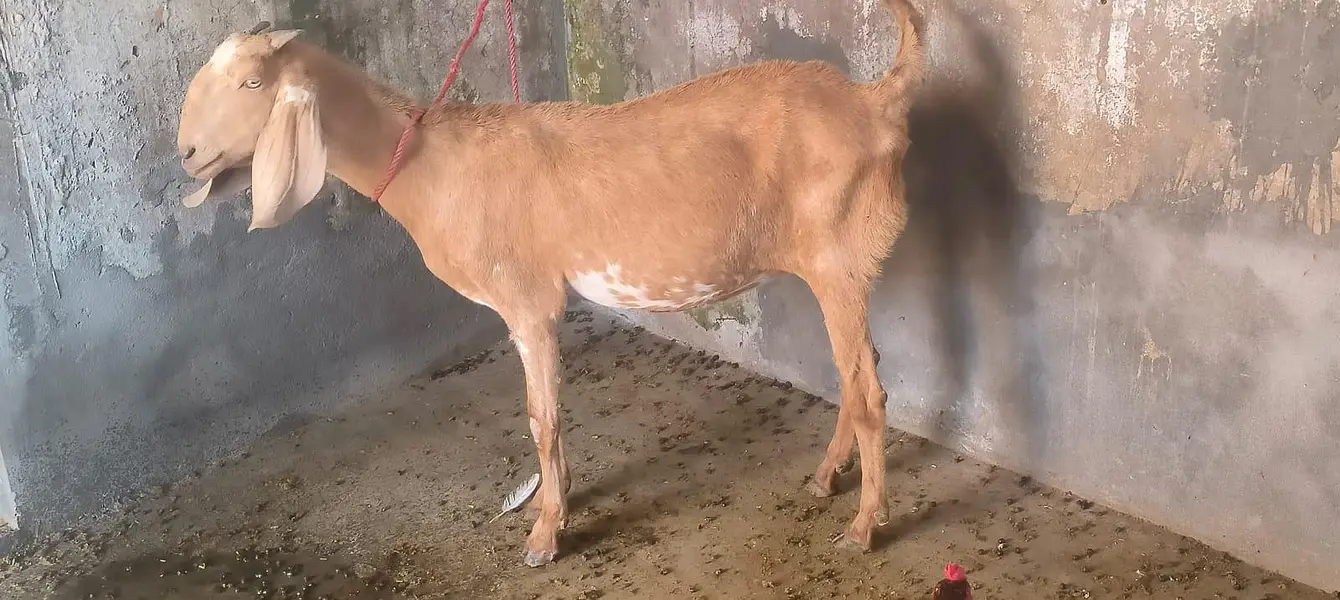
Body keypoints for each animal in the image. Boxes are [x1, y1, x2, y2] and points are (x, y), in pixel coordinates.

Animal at [175, 0, 923, 567]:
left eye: (252, 85)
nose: (186, 153)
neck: (431, 169)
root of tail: (874, 101)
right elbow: (546, 415)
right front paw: (549, 503)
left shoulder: (527, 299)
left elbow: (542, 416)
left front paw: (544, 533)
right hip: (831, 266)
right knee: (855, 375)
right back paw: (827, 478)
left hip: (839, 257)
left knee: (870, 392)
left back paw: (863, 527)